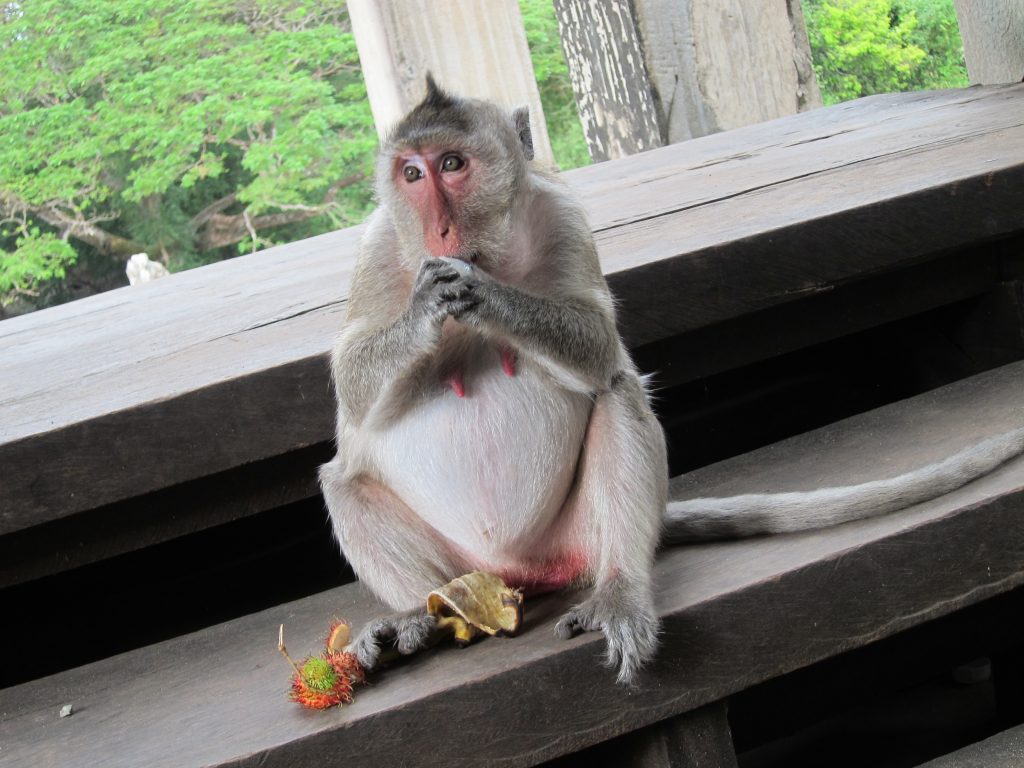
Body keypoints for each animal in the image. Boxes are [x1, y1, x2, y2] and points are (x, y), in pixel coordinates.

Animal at [323, 76, 1024, 684]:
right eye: (411, 174)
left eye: (452, 164)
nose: (439, 228)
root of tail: (520, 570)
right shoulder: (377, 247)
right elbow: (352, 382)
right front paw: (425, 306)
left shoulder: (562, 213)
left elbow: (598, 345)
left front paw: (485, 295)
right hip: (465, 566)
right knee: (343, 480)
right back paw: (416, 615)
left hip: (580, 535)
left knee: (618, 395)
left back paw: (621, 591)